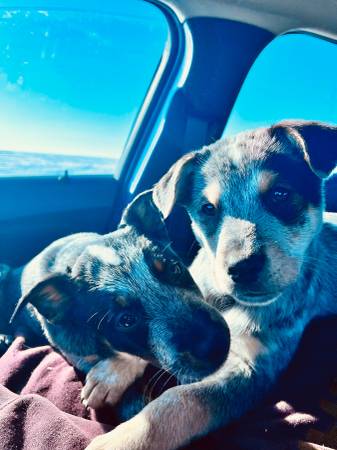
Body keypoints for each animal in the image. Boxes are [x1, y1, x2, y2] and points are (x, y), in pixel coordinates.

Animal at [85, 120, 336, 450]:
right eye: (207, 208)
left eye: (280, 194)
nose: (243, 267)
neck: (227, 301)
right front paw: (112, 369)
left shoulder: (252, 371)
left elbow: (182, 399)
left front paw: (122, 440)